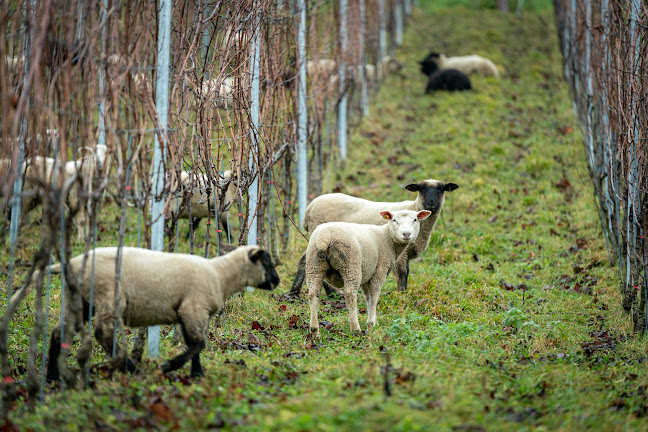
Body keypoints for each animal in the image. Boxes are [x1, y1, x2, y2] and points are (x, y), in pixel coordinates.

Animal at [10, 243, 278, 382]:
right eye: (267, 262)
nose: (277, 281)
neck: (221, 275)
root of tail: (72, 264)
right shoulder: (193, 309)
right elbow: (198, 344)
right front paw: (170, 366)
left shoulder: (188, 313)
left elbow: (195, 345)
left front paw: (196, 374)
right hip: (108, 295)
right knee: (102, 333)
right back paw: (130, 367)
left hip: (80, 300)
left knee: (60, 333)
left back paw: (52, 377)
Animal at [288, 180, 460, 296]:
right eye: (421, 189)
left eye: (442, 189)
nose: (431, 203)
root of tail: (308, 209)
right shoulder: (401, 253)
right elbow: (402, 274)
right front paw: (402, 295)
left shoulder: (406, 252)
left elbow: (407, 273)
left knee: (304, 261)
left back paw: (297, 292)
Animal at [308, 209, 430, 338]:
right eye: (394, 220)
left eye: (415, 219)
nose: (406, 234)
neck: (387, 238)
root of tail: (325, 238)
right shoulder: (379, 271)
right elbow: (374, 296)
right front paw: (371, 323)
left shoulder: (366, 275)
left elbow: (367, 298)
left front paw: (374, 320)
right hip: (351, 265)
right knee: (350, 294)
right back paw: (355, 328)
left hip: (314, 265)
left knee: (313, 294)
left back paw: (315, 331)